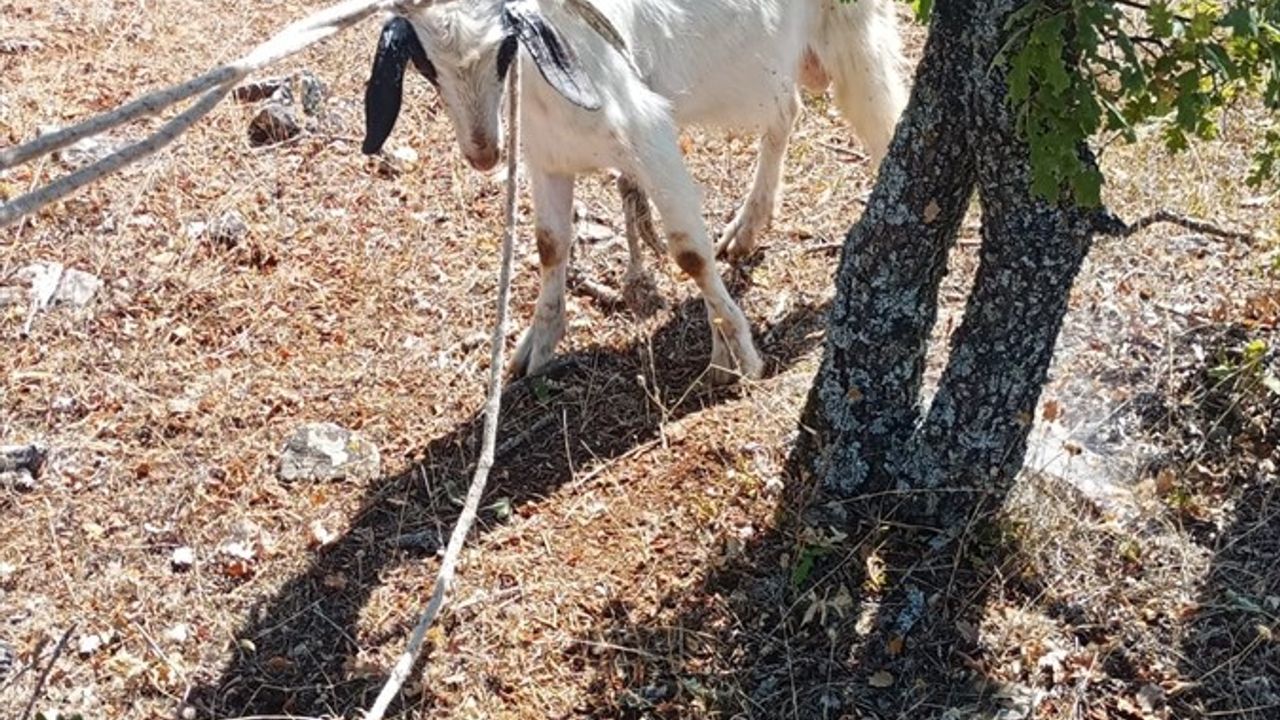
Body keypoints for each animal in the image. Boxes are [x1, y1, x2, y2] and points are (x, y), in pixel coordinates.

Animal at [363, 0, 911, 381]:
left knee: (885, 118)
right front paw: (538, 345)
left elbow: (689, 253)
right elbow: (549, 245)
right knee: (785, 113)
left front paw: (739, 355)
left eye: (505, 48)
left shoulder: (651, 138)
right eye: (424, 62)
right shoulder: (547, 157)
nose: (483, 154)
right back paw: (747, 228)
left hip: (855, 36)